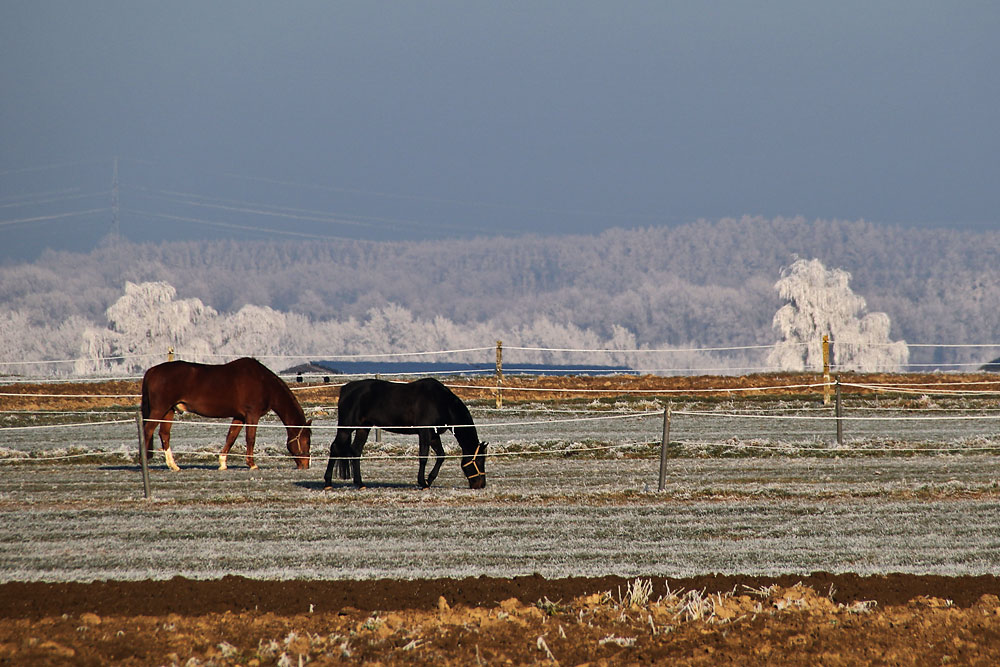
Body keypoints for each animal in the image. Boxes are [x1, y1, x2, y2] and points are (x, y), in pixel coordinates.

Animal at [141, 358, 310, 472]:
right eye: (306, 441)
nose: (306, 465)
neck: (264, 383)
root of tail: (152, 371)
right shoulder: (252, 415)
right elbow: (250, 438)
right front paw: (252, 464)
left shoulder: (240, 417)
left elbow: (231, 437)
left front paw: (222, 463)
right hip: (159, 410)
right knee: (148, 431)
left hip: (169, 411)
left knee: (164, 434)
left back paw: (174, 466)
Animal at [326, 376, 486, 490]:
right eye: (479, 460)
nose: (481, 484)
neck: (441, 403)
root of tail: (345, 389)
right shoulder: (424, 432)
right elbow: (423, 457)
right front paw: (423, 483)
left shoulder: (434, 435)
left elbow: (441, 455)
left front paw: (429, 479)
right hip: (346, 428)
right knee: (335, 448)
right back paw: (328, 483)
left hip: (363, 428)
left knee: (356, 451)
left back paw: (360, 484)